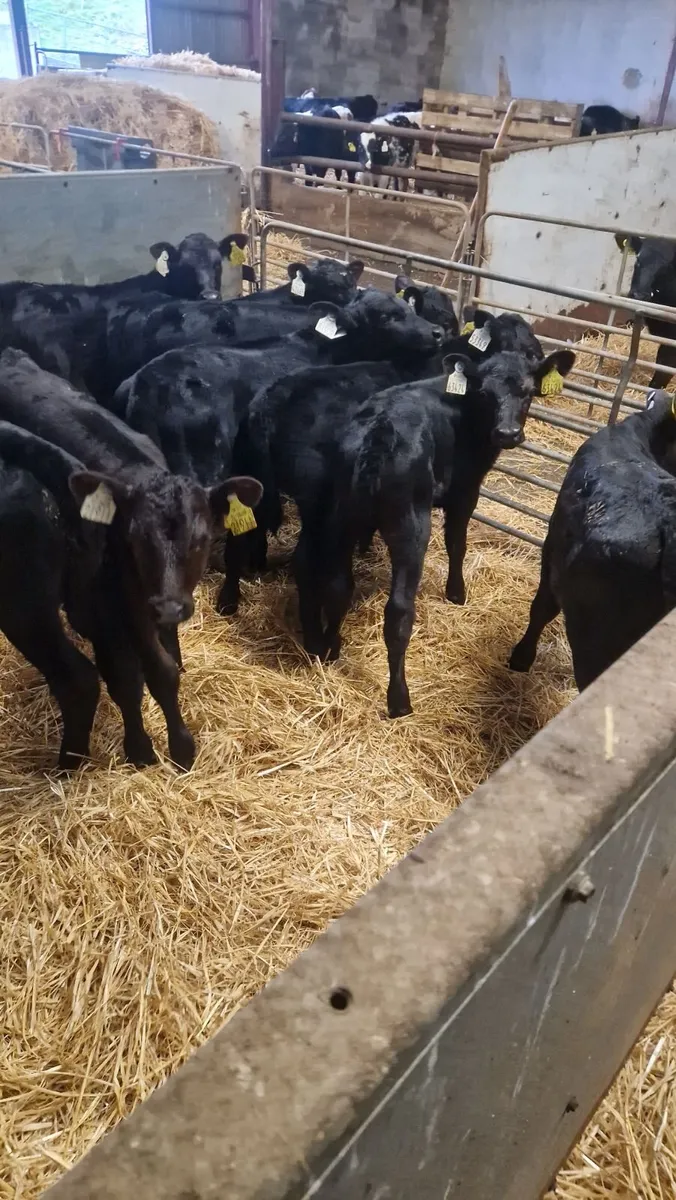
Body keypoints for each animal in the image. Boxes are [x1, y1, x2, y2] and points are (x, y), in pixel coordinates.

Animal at [0, 348, 262, 769]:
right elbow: (129, 676)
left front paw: (179, 747)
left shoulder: (137, 604)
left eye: (203, 540)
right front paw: (144, 750)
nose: (170, 607)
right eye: (136, 539)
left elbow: (163, 670)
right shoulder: (111, 604)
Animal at [250, 347, 575, 716]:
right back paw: (398, 698)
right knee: (395, 609)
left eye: (528, 392)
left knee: (336, 584)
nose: (507, 433)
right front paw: (456, 593)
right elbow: (457, 543)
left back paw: (328, 646)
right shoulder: (465, 491)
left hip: (339, 512)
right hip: (405, 524)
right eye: (484, 393)